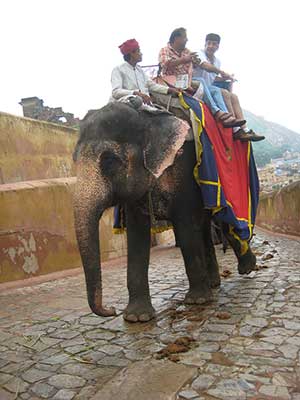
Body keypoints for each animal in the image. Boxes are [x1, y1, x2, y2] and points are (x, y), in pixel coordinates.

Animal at [73, 102, 255, 322]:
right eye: (74, 160)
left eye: (109, 160)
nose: (111, 310)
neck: (146, 119)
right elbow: (137, 235)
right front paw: (137, 317)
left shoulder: (184, 170)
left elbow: (185, 227)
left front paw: (197, 301)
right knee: (204, 228)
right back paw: (214, 283)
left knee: (221, 223)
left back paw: (246, 269)